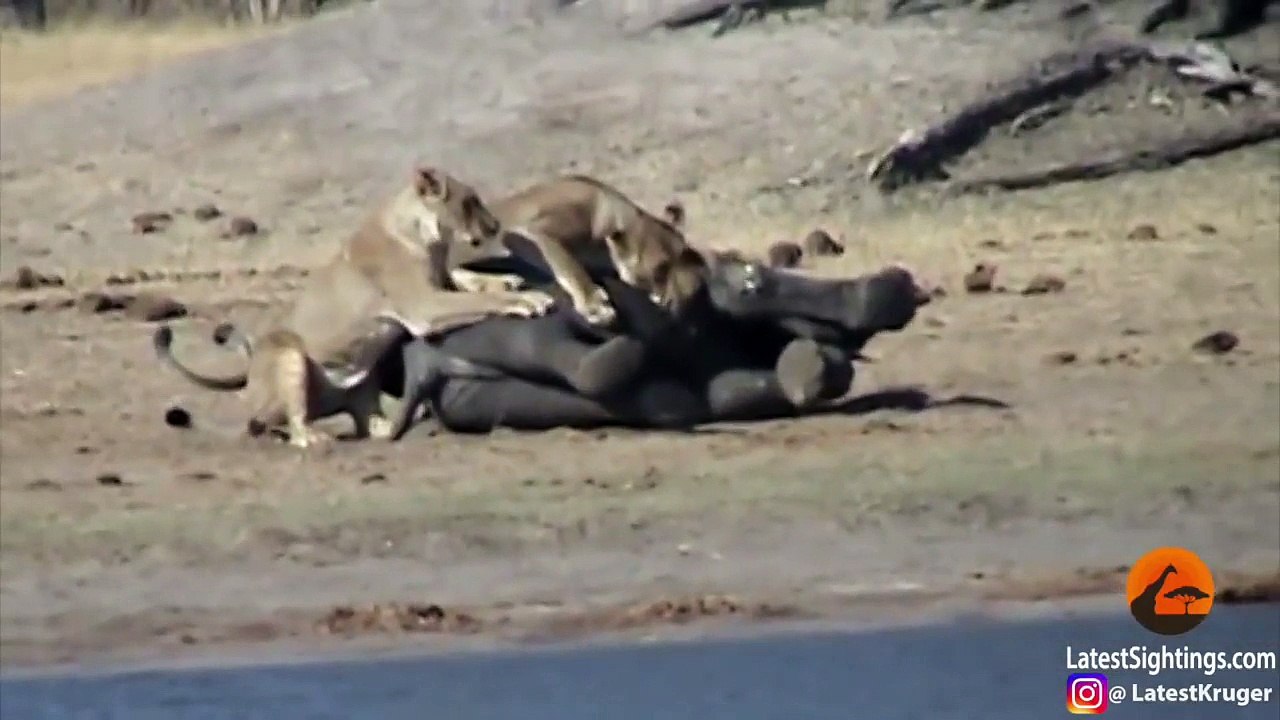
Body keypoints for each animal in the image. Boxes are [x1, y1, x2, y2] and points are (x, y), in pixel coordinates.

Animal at [154, 165, 552, 447]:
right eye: (469, 201)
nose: (496, 225)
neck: (427, 236)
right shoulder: (422, 307)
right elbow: (480, 299)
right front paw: (528, 299)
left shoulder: (438, 283)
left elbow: (467, 280)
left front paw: (506, 281)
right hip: (288, 354)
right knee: (284, 424)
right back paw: (312, 437)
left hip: (364, 382)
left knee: (368, 424)